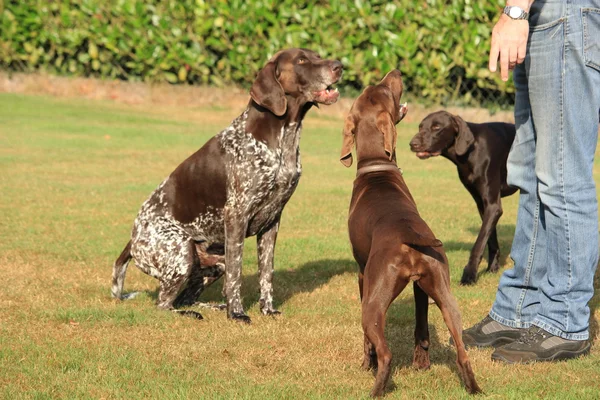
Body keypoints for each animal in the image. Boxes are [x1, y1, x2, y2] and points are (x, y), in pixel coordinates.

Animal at [340, 71, 480, 396]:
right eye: (380, 88)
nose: (395, 73)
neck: (376, 168)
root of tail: (409, 237)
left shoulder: (362, 273)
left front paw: (365, 363)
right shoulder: (421, 287)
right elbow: (421, 326)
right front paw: (422, 364)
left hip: (373, 304)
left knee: (386, 352)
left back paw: (376, 389)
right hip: (446, 295)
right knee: (462, 352)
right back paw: (474, 388)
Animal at [410, 109, 516, 284]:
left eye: (436, 127)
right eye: (420, 126)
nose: (413, 144)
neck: (471, 151)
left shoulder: (493, 206)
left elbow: (479, 244)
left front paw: (469, 274)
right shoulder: (483, 205)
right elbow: (490, 239)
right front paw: (492, 267)